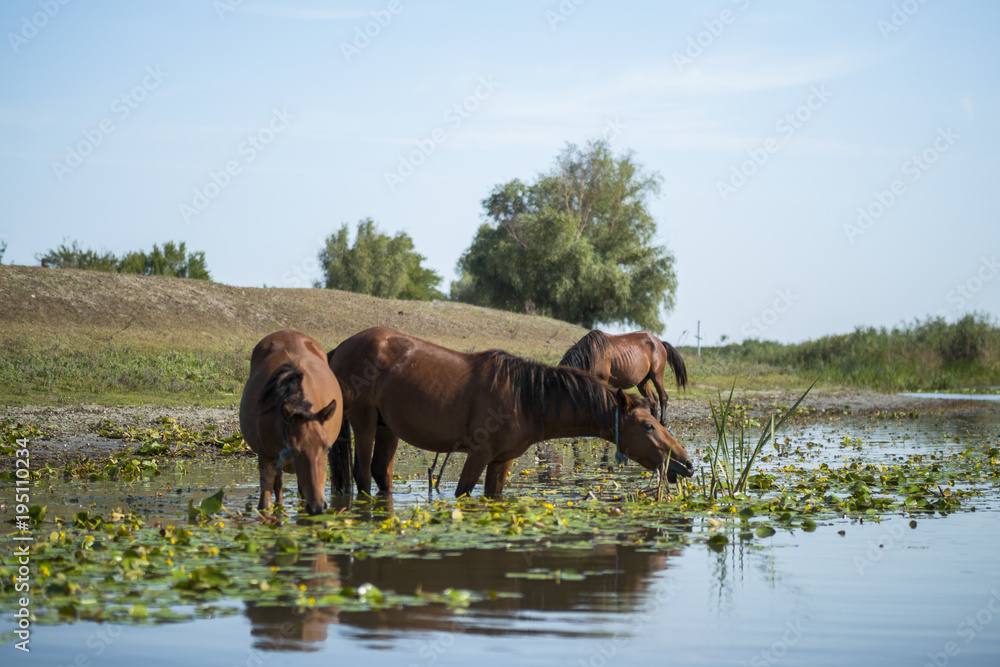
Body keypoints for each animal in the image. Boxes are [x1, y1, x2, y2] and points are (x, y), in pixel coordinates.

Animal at [239, 332, 344, 516]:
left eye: (327, 448)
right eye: (295, 450)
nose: (318, 506)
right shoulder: (266, 458)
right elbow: (265, 503)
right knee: (278, 486)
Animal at [560, 330, 692, 428]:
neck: (591, 355)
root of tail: (659, 342)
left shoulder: (603, 380)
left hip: (657, 375)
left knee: (663, 397)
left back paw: (663, 424)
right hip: (643, 382)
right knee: (653, 401)